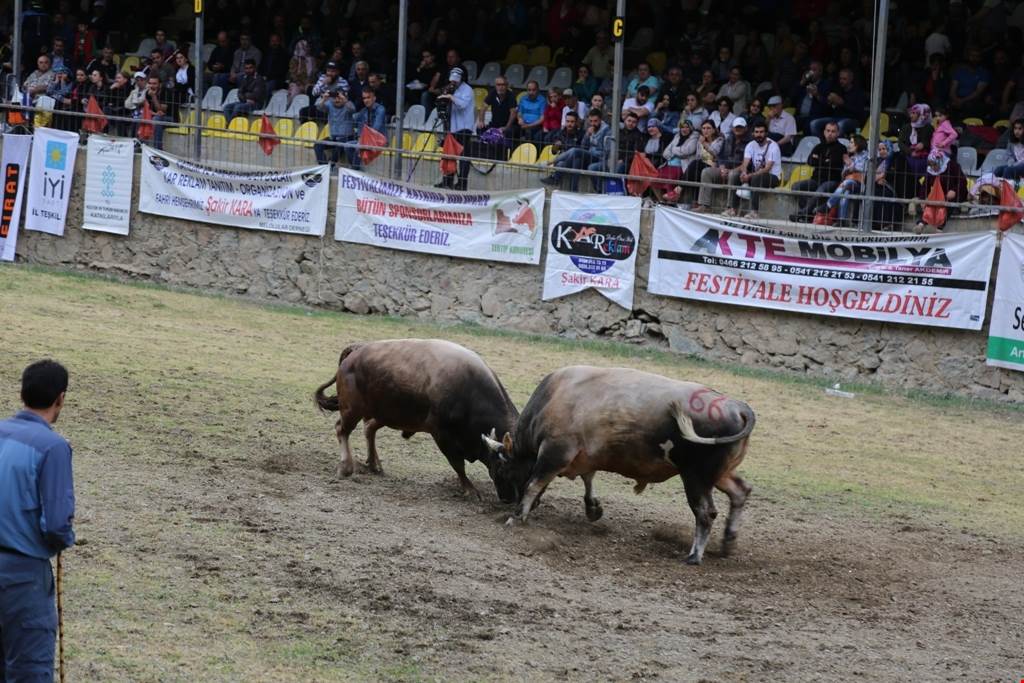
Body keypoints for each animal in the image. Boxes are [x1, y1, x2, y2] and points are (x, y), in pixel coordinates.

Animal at [314, 339, 519, 502]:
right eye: (504, 468)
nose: (509, 499)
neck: (470, 391)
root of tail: (357, 350)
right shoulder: (441, 435)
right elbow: (457, 464)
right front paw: (470, 490)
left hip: (385, 413)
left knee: (369, 428)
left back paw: (374, 465)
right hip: (353, 410)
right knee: (342, 429)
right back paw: (346, 467)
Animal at [481, 366, 756, 565]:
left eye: (501, 470)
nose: (504, 499)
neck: (552, 399)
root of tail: (736, 406)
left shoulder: (555, 452)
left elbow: (533, 484)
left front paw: (517, 516)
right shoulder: (584, 456)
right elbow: (588, 478)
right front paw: (593, 507)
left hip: (696, 476)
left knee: (705, 513)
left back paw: (694, 555)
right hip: (718, 474)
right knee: (740, 491)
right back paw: (728, 541)